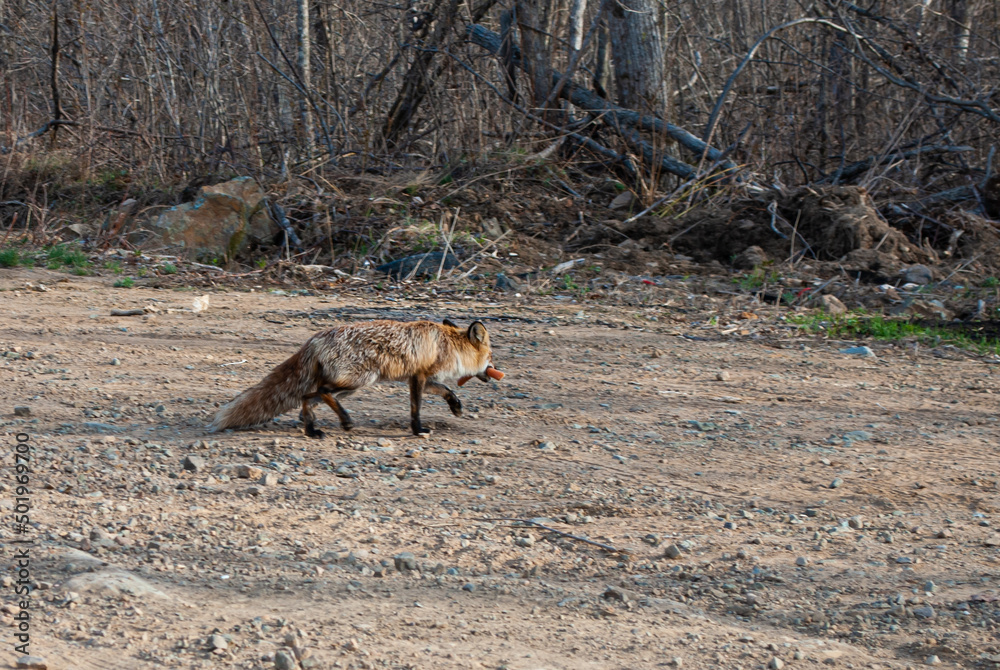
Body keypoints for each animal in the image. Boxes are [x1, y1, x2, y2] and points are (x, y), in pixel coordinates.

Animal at [207, 318, 502, 438]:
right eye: (491, 356)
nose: (495, 372)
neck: (447, 344)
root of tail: (314, 339)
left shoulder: (421, 378)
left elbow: (445, 390)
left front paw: (456, 406)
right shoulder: (417, 378)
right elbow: (416, 409)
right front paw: (418, 430)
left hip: (351, 386)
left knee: (308, 397)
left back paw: (311, 428)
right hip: (359, 380)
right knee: (317, 393)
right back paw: (344, 422)